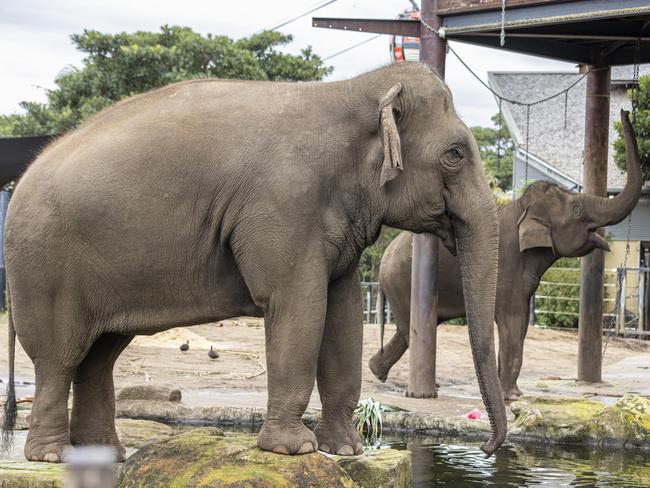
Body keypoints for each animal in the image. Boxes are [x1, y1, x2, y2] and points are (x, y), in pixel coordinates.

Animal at [1, 61, 506, 462]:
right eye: (455, 154)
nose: (486, 449)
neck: (350, 90)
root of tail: (21, 179)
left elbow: (341, 315)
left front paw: (346, 450)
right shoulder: (283, 207)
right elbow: (297, 306)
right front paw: (293, 449)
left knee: (100, 354)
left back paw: (104, 455)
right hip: (43, 266)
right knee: (60, 355)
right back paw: (50, 456)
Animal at [368, 109, 640, 400]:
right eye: (577, 209)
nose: (625, 112)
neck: (521, 208)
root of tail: (383, 260)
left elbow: (521, 327)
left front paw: (513, 392)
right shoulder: (508, 269)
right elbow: (512, 321)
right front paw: (511, 396)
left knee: (408, 331)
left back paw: (377, 372)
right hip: (400, 283)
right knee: (409, 329)